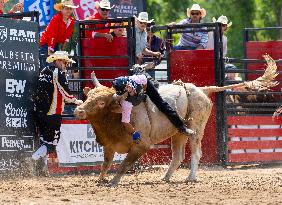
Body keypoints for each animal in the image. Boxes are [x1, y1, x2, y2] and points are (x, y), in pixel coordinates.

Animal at [73, 54, 278, 186]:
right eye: (89, 96)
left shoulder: (142, 145)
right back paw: (165, 177)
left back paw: (190, 177)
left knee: (196, 152)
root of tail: (202, 89)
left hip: (196, 127)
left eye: (101, 102)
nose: (78, 110)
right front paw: (100, 180)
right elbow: (105, 163)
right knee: (178, 156)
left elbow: (124, 164)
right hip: (178, 133)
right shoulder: (108, 145)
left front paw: (114, 181)